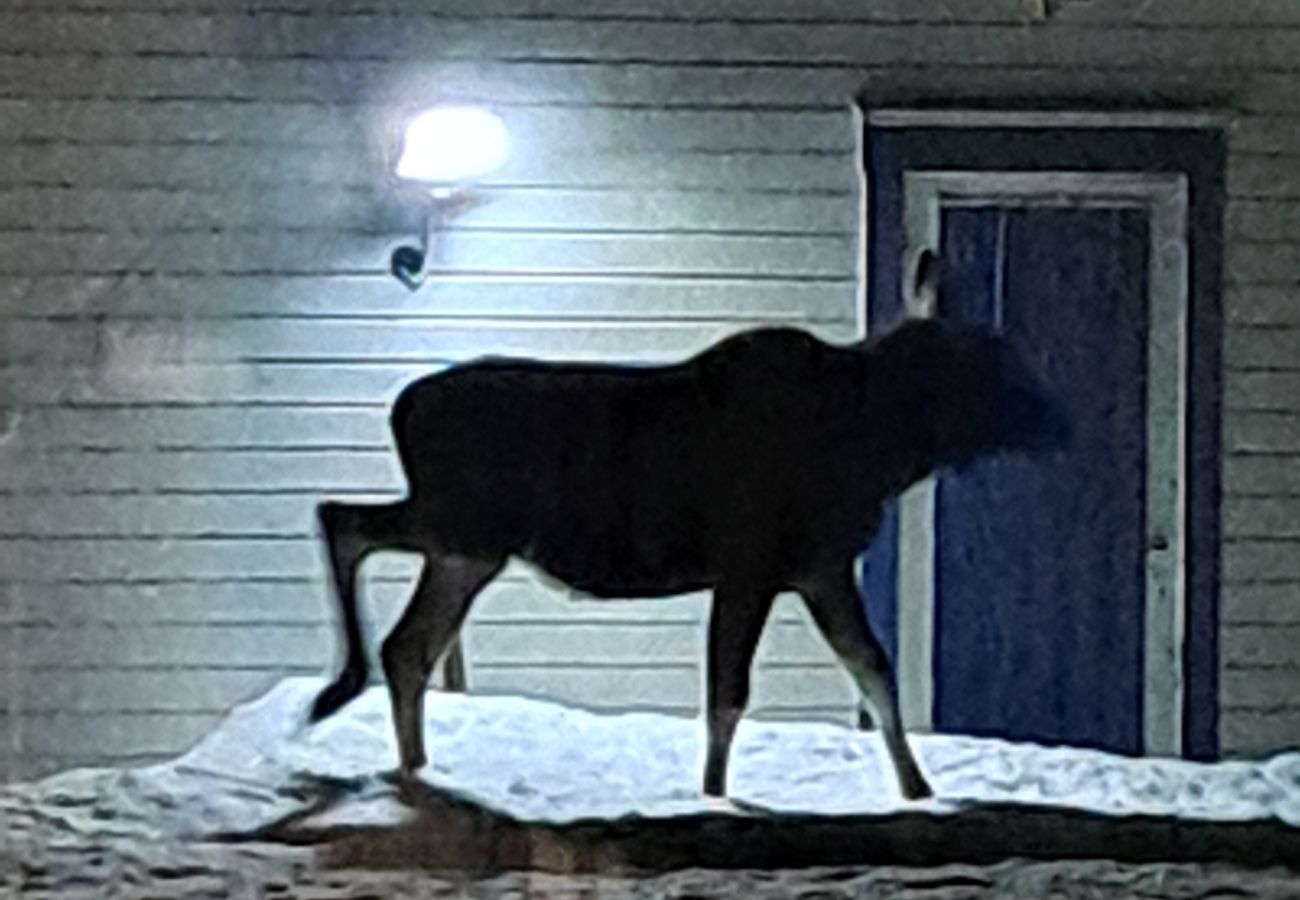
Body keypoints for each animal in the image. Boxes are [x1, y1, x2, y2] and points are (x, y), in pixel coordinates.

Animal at [309, 253, 1071, 801]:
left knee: (406, 643)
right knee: (342, 524)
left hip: (465, 549)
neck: (883, 451)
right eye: (994, 356)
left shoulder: (819, 568)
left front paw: (918, 790)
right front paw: (712, 798)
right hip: (462, 525)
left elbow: (873, 671)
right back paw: (341, 696)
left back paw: (414, 769)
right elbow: (728, 696)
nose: (1057, 420)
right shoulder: (752, 567)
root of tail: (401, 409)